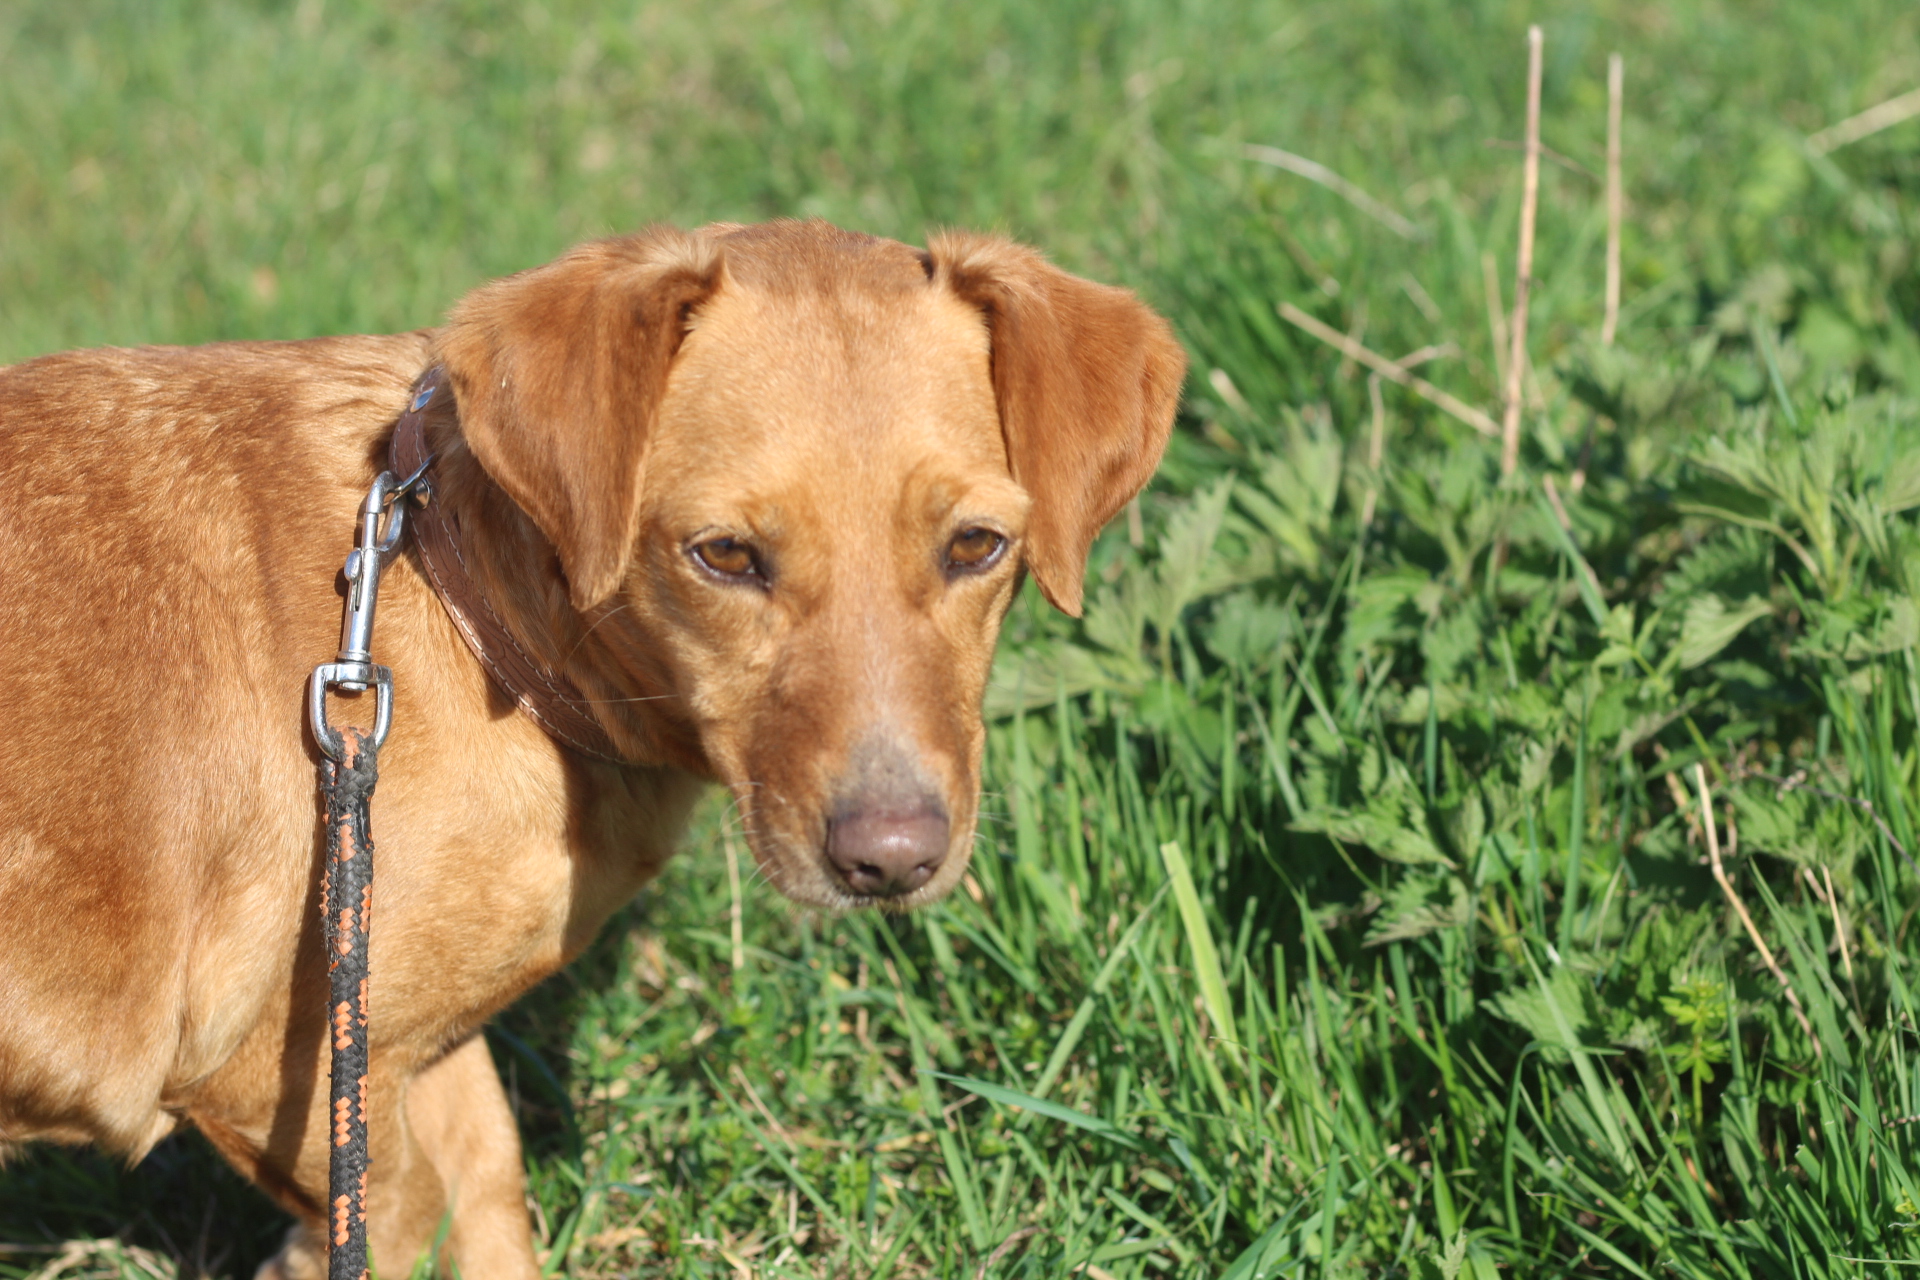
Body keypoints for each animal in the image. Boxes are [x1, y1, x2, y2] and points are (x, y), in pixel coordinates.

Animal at [0, 218, 1183, 1275]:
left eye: (977, 544)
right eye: (725, 555)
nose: (890, 860)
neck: (456, 598)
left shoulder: (408, 1055)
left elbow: (482, 1190)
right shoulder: (268, 1073)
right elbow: (401, 1214)